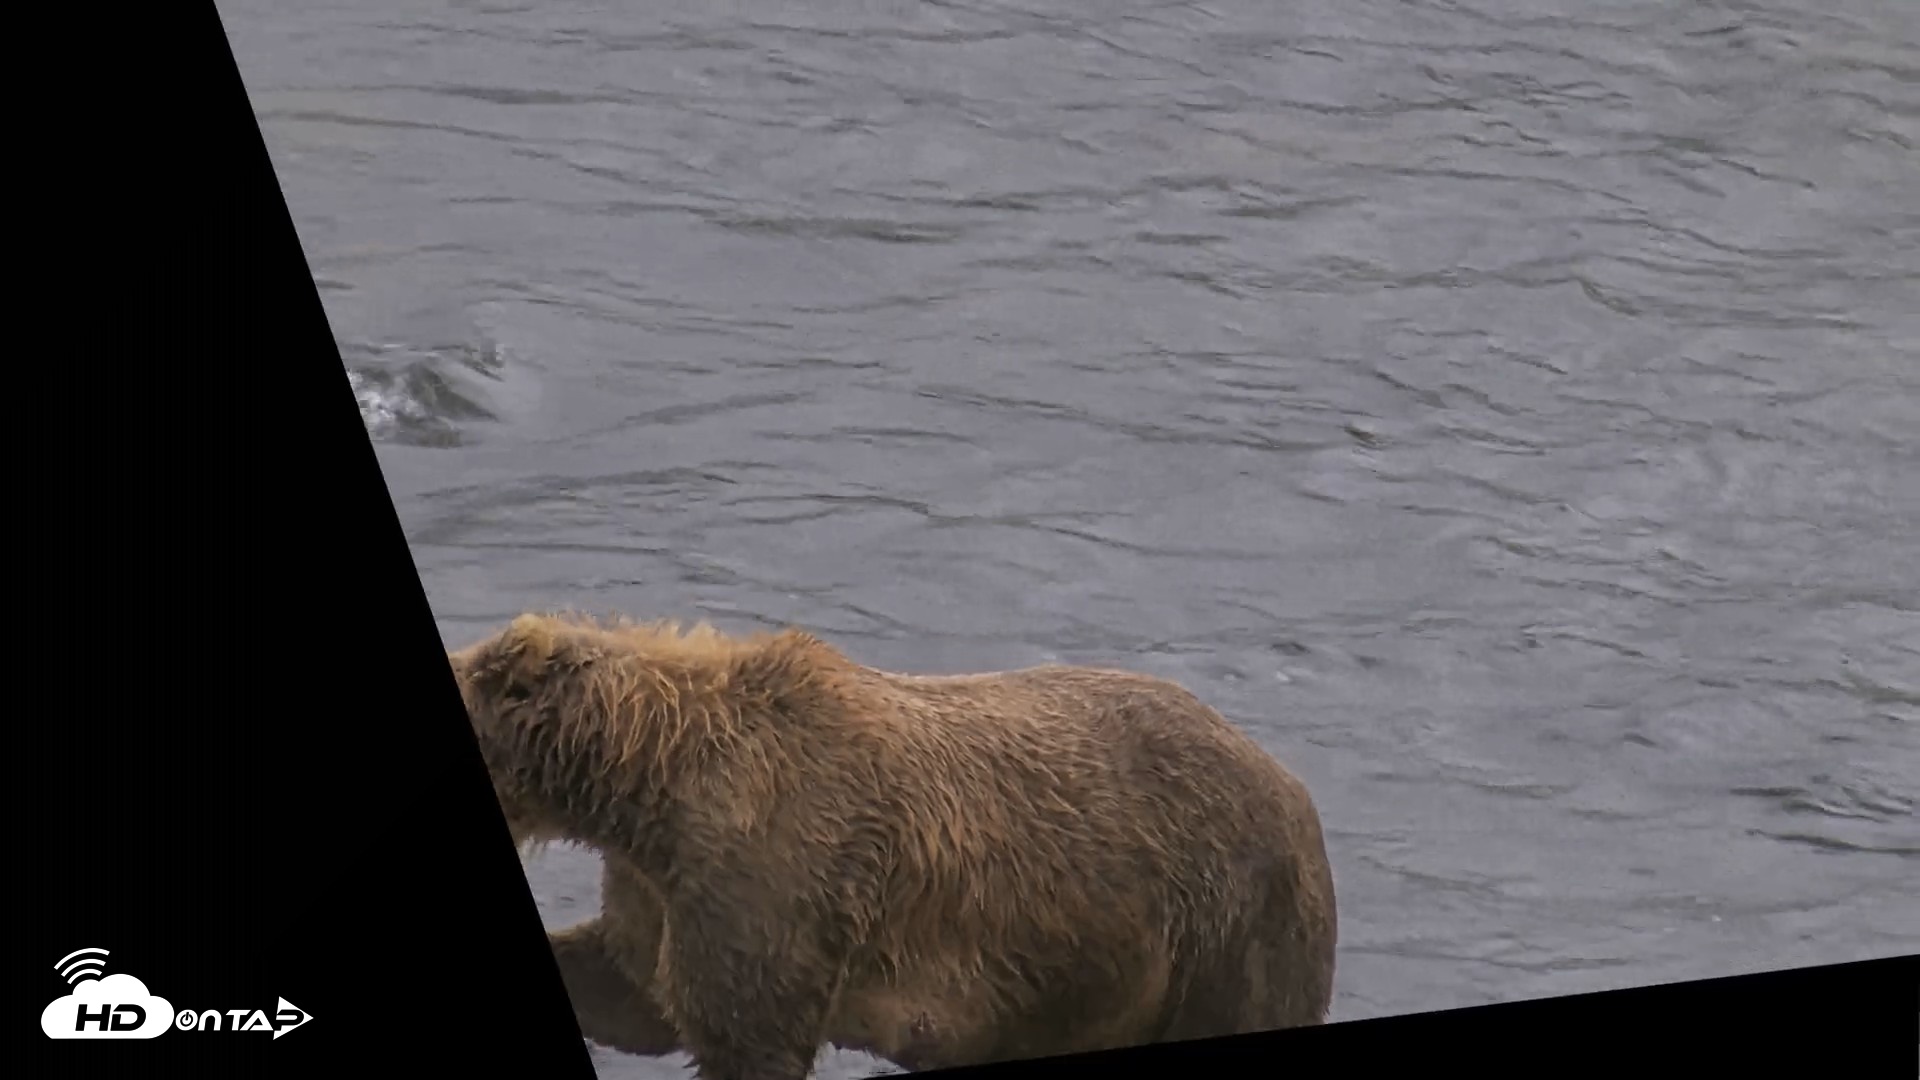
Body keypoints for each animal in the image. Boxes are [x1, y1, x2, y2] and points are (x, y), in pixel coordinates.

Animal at [446, 612, 1337, 1080]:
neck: (651, 786)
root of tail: (1295, 785)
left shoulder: (772, 877)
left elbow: (740, 1032)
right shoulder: (657, 890)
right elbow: (630, 992)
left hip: (1227, 932)